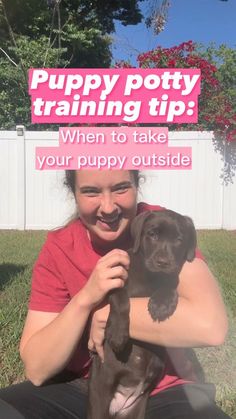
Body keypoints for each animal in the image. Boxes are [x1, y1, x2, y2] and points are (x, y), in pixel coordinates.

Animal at [87, 210, 196, 419]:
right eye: (152, 234)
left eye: (179, 240)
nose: (163, 262)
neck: (150, 277)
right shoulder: (115, 282)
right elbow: (121, 299)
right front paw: (118, 335)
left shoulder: (170, 277)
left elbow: (170, 283)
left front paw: (162, 304)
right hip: (100, 395)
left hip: (138, 407)